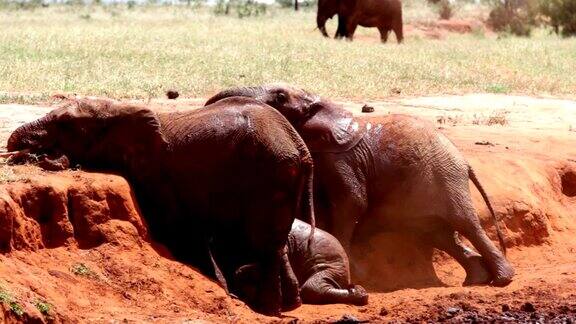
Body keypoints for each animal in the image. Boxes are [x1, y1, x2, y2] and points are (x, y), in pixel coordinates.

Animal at [6, 95, 318, 316]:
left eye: (65, 125)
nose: (32, 153)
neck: (119, 110)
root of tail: (301, 148)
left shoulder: (159, 174)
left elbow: (179, 227)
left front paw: (223, 290)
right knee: (275, 241)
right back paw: (289, 305)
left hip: (271, 174)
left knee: (265, 242)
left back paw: (268, 309)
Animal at [205, 85, 516, 288]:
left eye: (280, 97)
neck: (326, 105)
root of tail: (465, 162)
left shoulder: (342, 158)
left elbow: (352, 202)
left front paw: (354, 273)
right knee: (441, 234)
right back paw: (475, 280)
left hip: (446, 177)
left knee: (465, 223)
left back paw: (501, 280)